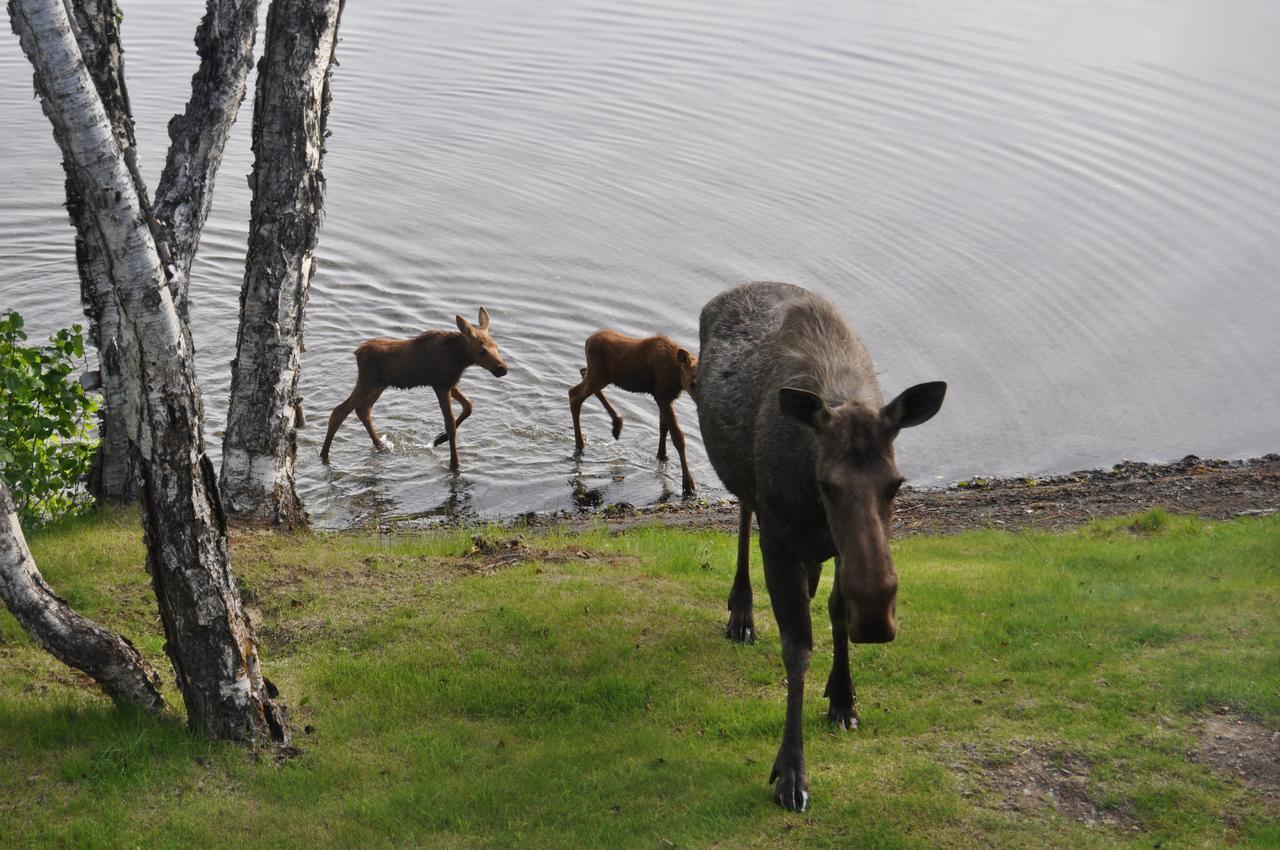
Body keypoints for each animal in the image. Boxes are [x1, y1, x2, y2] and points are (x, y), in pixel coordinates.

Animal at [320, 307, 509, 471]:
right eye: (482, 351)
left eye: (496, 346)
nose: (502, 368)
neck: (459, 358)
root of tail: (357, 352)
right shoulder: (440, 385)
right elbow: (450, 423)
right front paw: (454, 463)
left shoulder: (451, 383)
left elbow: (468, 406)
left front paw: (439, 439)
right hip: (368, 383)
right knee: (339, 411)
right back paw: (324, 455)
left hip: (379, 385)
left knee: (363, 410)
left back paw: (380, 445)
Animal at [570, 327, 701, 494]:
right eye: (692, 383)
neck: (676, 377)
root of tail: (588, 340)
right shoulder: (662, 396)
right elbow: (678, 437)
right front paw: (689, 485)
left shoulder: (666, 398)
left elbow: (663, 427)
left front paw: (662, 455)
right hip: (598, 374)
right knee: (574, 394)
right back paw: (581, 445)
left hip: (601, 375)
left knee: (581, 372)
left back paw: (616, 423)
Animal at [696, 281, 947, 814]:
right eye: (826, 484)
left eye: (896, 483)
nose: (875, 618)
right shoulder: (780, 538)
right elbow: (798, 648)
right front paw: (791, 772)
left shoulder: (840, 549)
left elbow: (835, 612)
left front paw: (844, 698)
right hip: (746, 489)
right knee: (743, 515)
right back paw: (741, 614)